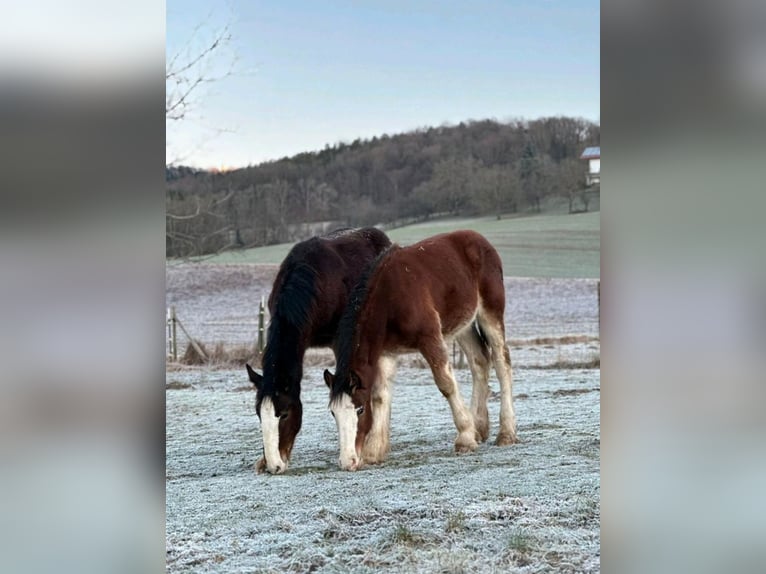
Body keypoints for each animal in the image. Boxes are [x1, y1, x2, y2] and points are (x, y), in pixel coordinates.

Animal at [328, 230, 520, 472]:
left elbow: (446, 384)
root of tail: (478, 239)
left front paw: (465, 438)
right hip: (462, 325)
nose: (347, 461)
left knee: (502, 363)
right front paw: (374, 451)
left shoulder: (430, 338)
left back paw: (506, 433)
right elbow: (381, 395)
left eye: (360, 409)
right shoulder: (386, 353)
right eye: (333, 412)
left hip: (490, 314)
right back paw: (480, 427)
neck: (389, 298)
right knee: (480, 361)